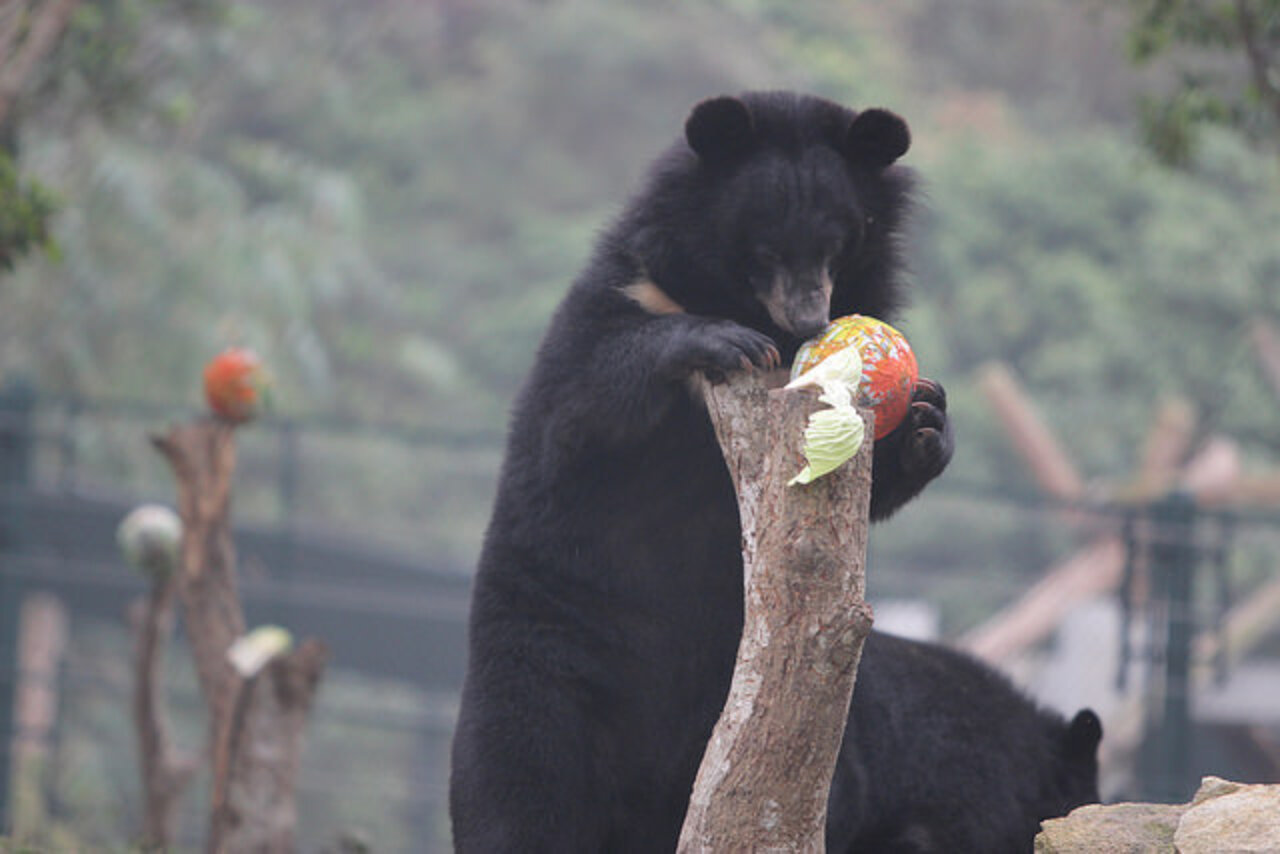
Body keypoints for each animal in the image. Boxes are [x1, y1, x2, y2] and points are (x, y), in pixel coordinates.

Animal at [449, 90, 1091, 852]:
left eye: (839, 240)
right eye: (763, 247)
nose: (811, 317)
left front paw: (928, 423)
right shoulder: (623, 298)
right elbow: (581, 405)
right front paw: (723, 342)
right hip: (546, 650)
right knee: (520, 784)